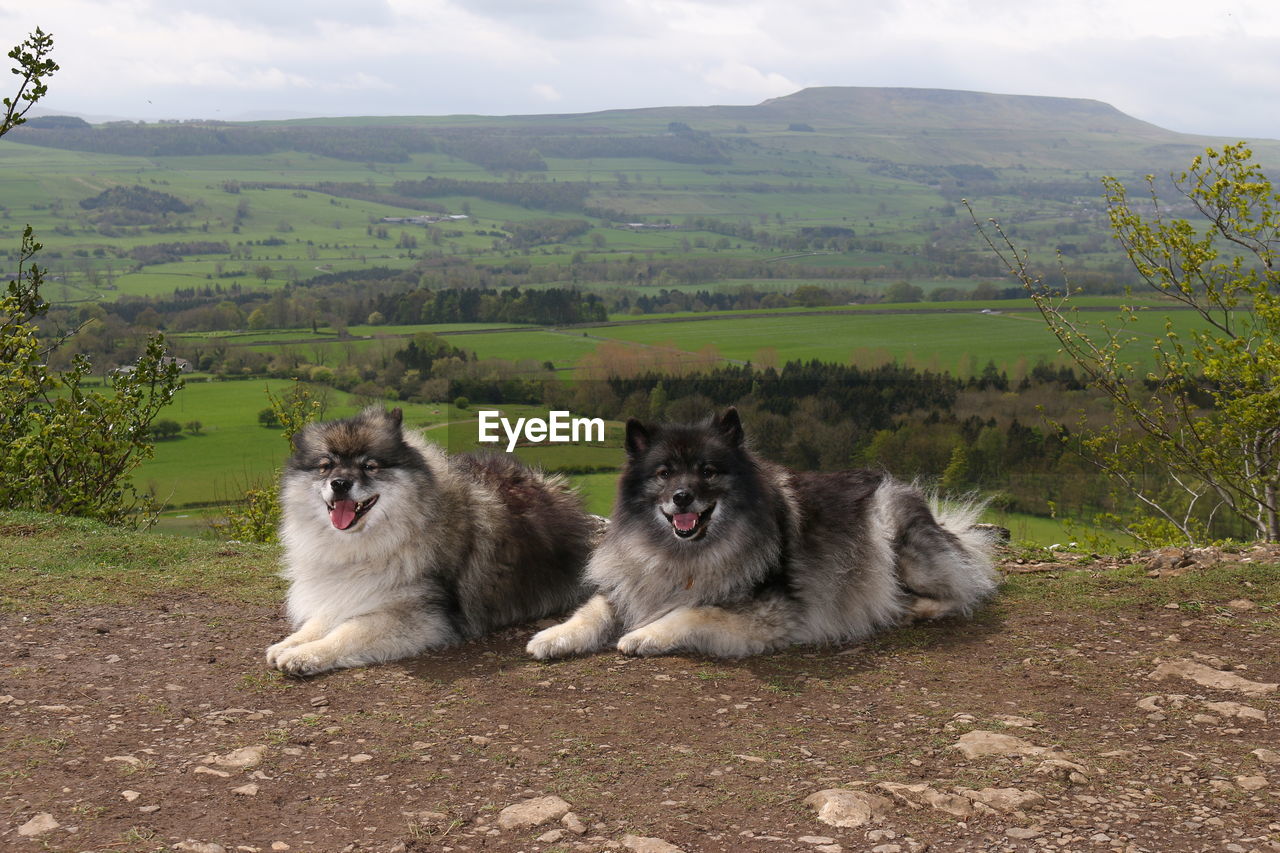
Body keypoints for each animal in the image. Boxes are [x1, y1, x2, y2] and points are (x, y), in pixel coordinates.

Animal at [268, 402, 593, 676]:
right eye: (325, 466)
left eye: (369, 466)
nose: (339, 484)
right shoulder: (346, 591)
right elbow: (320, 621)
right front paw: (290, 643)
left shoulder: (418, 615)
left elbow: (347, 631)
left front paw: (305, 654)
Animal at [524, 404, 993, 655]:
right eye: (664, 473)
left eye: (708, 471)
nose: (682, 497)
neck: (687, 554)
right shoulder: (630, 585)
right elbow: (593, 609)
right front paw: (552, 635)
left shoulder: (773, 612)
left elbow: (692, 610)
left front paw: (644, 634)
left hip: (897, 538)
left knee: (964, 590)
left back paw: (909, 607)